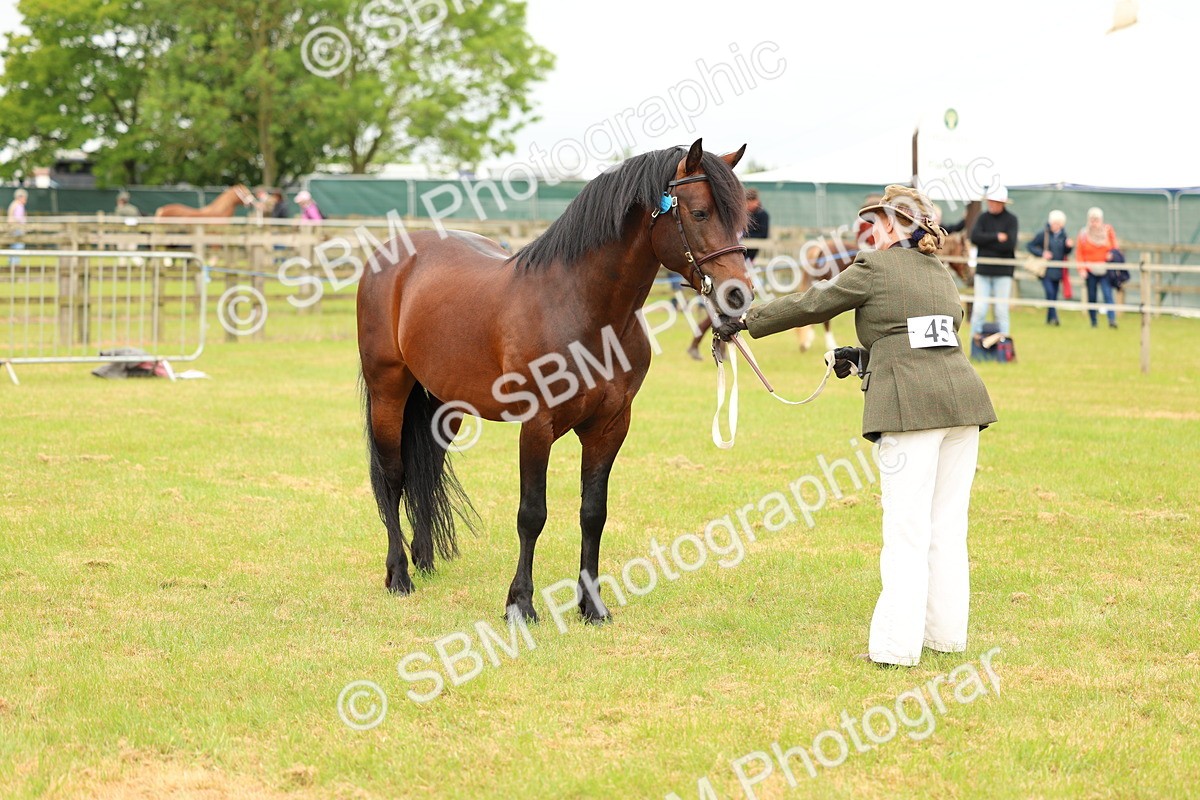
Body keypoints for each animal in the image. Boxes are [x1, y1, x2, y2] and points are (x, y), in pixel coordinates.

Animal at [356, 139, 752, 622]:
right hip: (388, 390)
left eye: (740, 220)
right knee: (394, 476)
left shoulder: (610, 425)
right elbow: (532, 514)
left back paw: (424, 559)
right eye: (699, 213)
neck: (582, 308)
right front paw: (520, 604)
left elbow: (593, 513)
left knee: (425, 471)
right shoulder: (537, 425)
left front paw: (592, 605)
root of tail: (393, 254)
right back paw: (399, 575)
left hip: (444, 404)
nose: (739, 296)